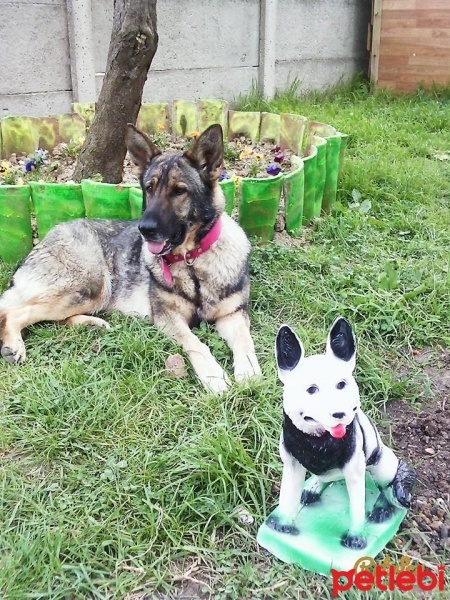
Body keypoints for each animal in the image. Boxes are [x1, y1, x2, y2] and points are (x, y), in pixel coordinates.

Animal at [0, 123, 262, 394]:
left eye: (179, 191)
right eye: (149, 188)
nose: (144, 229)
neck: (192, 261)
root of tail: (45, 239)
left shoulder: (233, 315)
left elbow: (244, 340)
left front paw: (249, 370)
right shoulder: (168, 318)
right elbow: (196, 342)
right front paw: (213, 375)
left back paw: (91, 324)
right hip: (89, 287)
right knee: (10, 312)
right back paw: (15, 346)